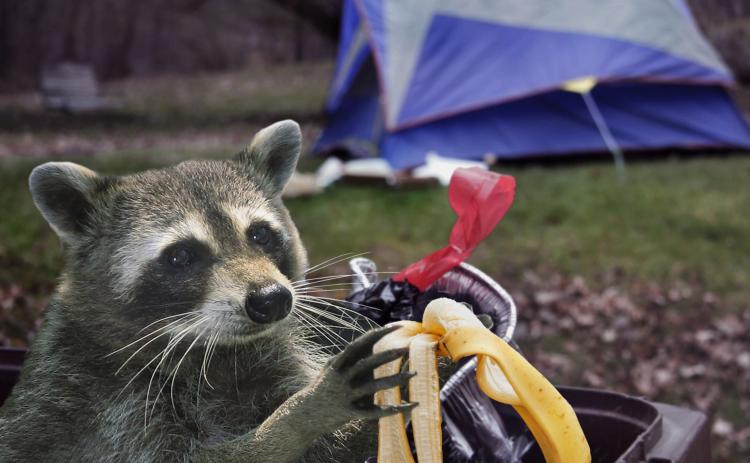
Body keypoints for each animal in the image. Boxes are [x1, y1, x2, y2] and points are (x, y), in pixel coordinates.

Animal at [0, 120, 415, 462]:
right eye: (181, 256)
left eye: (260, 234)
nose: (271, 300)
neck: (209, 349)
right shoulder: (105, 408)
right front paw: (300, 416)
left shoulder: (272, 356)